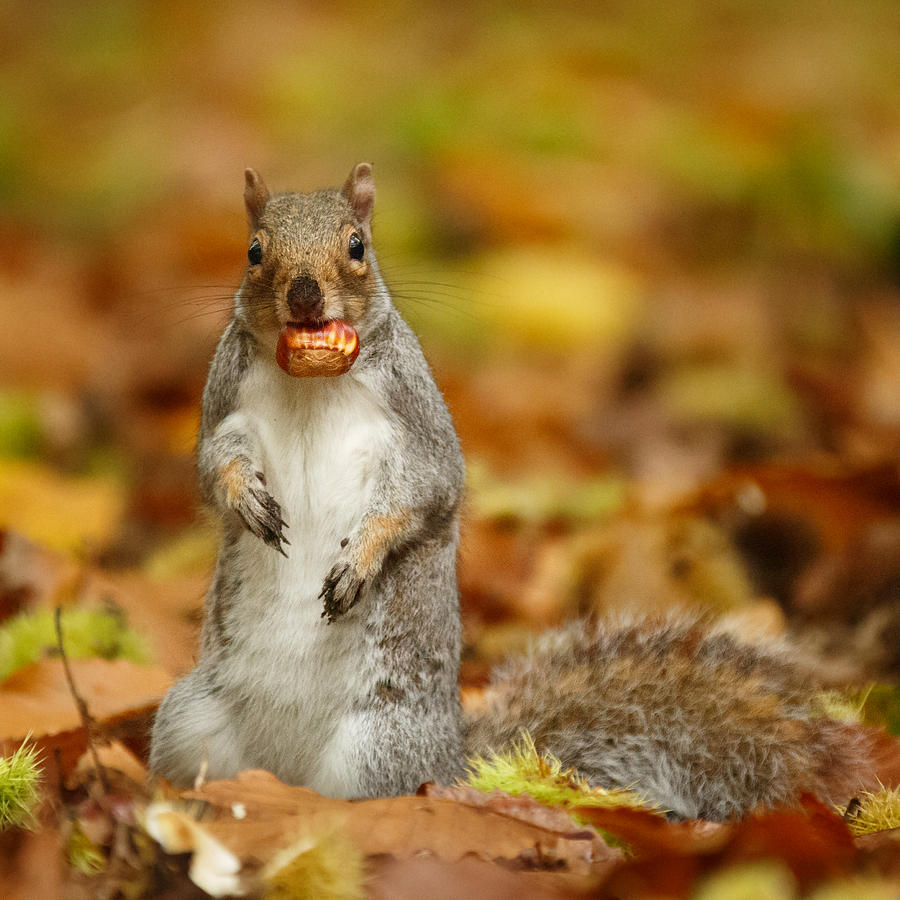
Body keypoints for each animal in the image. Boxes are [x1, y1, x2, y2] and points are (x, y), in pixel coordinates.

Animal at [151, 163, 876, 824]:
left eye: (357, 245)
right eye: (254, 251)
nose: (304, 296)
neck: (310, 379)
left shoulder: (418, 428)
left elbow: (423, 493)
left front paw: (359, 560)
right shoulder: (227, 405)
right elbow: (215, 465)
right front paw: (246, 500)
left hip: (379, 746)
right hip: (189, 719)